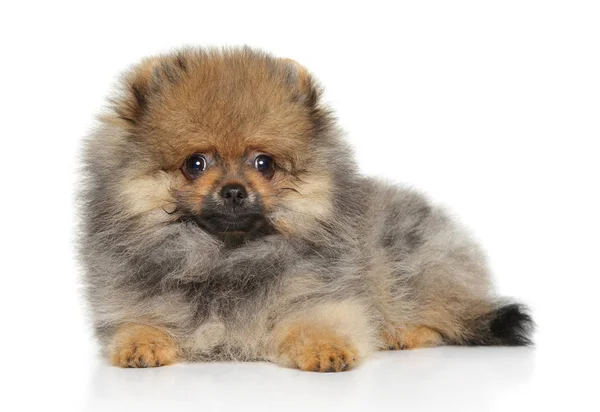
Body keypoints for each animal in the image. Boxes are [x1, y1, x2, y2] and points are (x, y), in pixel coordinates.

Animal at [79, 46, 536, 372]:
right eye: (195, 164)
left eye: (264, 163)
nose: (233, 191)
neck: (226, 258)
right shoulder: (130, 301)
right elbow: (138, 321)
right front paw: (141, 343)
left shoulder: (320, 295)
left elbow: (317, 322)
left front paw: (326, 349)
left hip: (412, 266)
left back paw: (402, 333)